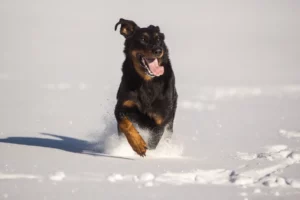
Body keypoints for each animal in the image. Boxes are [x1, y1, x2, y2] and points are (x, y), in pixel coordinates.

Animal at [113, 18, 177, 156]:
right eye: (143, 39)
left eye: (159, 39)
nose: (158, 50)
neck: (146, 82)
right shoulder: (122, 106)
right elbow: (125, 124)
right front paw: (138, 145)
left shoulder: (160, 122)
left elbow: (153, 142)